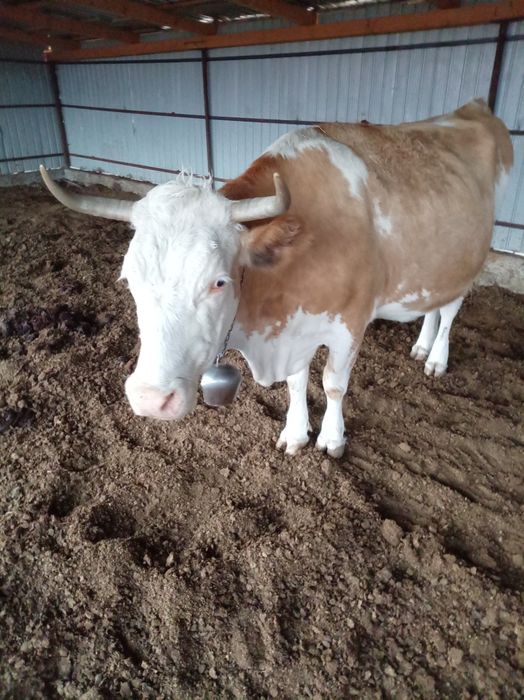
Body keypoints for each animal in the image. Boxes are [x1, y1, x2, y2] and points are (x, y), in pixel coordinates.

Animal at [40, 98, 512, 458]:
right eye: (128, 281)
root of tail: (474, 108)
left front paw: (331, 440)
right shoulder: (294, 325)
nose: (151, 400)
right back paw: (421, 345)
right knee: (433, 304)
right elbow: (297, 381)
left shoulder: (350, 323)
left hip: (471, 256)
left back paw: (436, 358)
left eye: (218, 282)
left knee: (450, 310)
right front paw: (295, 433)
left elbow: (333, 384)